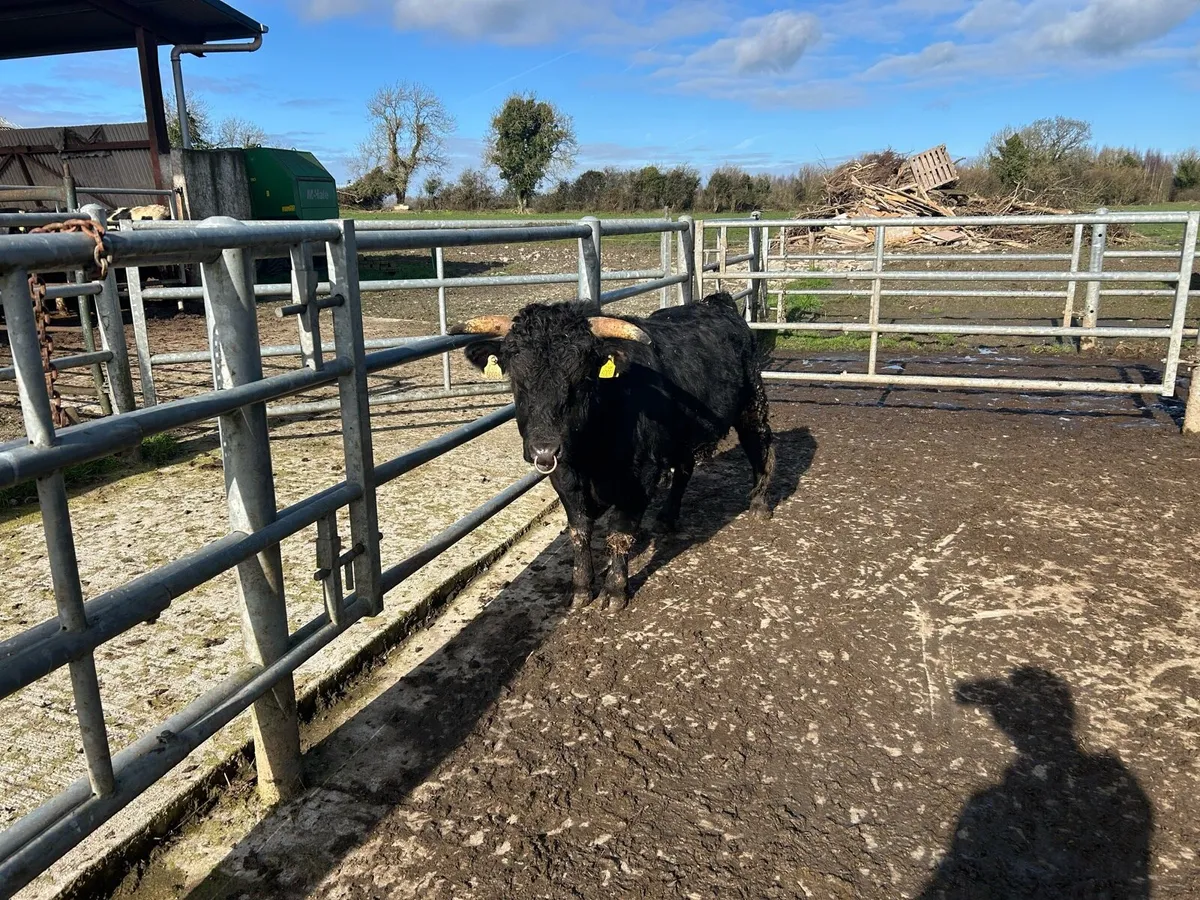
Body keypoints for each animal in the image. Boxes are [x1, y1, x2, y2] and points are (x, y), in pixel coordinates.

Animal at [451, 291, 774, 610]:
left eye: (582, 379)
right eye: (517, 380)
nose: (543, 448)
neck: (591, 453)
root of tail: (716, 301)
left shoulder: (640, 479)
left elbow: (620, 533)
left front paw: (616, 591)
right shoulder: (565, 477)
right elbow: (579, 532)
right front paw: (581, 590)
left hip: (752, 403)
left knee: (761, 445)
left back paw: (760, 502)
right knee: (684, 468)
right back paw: (667, 518)